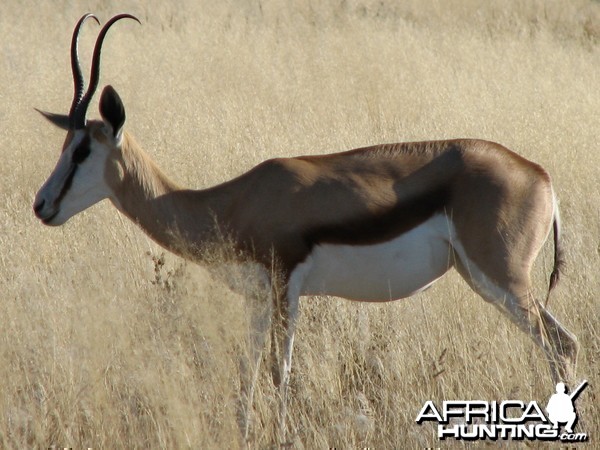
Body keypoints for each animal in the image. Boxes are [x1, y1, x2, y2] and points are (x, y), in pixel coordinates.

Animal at [35, 12, 580, 442]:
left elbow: (280, 373)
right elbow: (247, 373)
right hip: (480, 277)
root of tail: (540, 175)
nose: (42, 205)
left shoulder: (284, 290)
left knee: (561, 344)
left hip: (503, 279)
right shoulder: (257, 299)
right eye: (64, 144)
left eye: (83, 149)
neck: (230, 201)